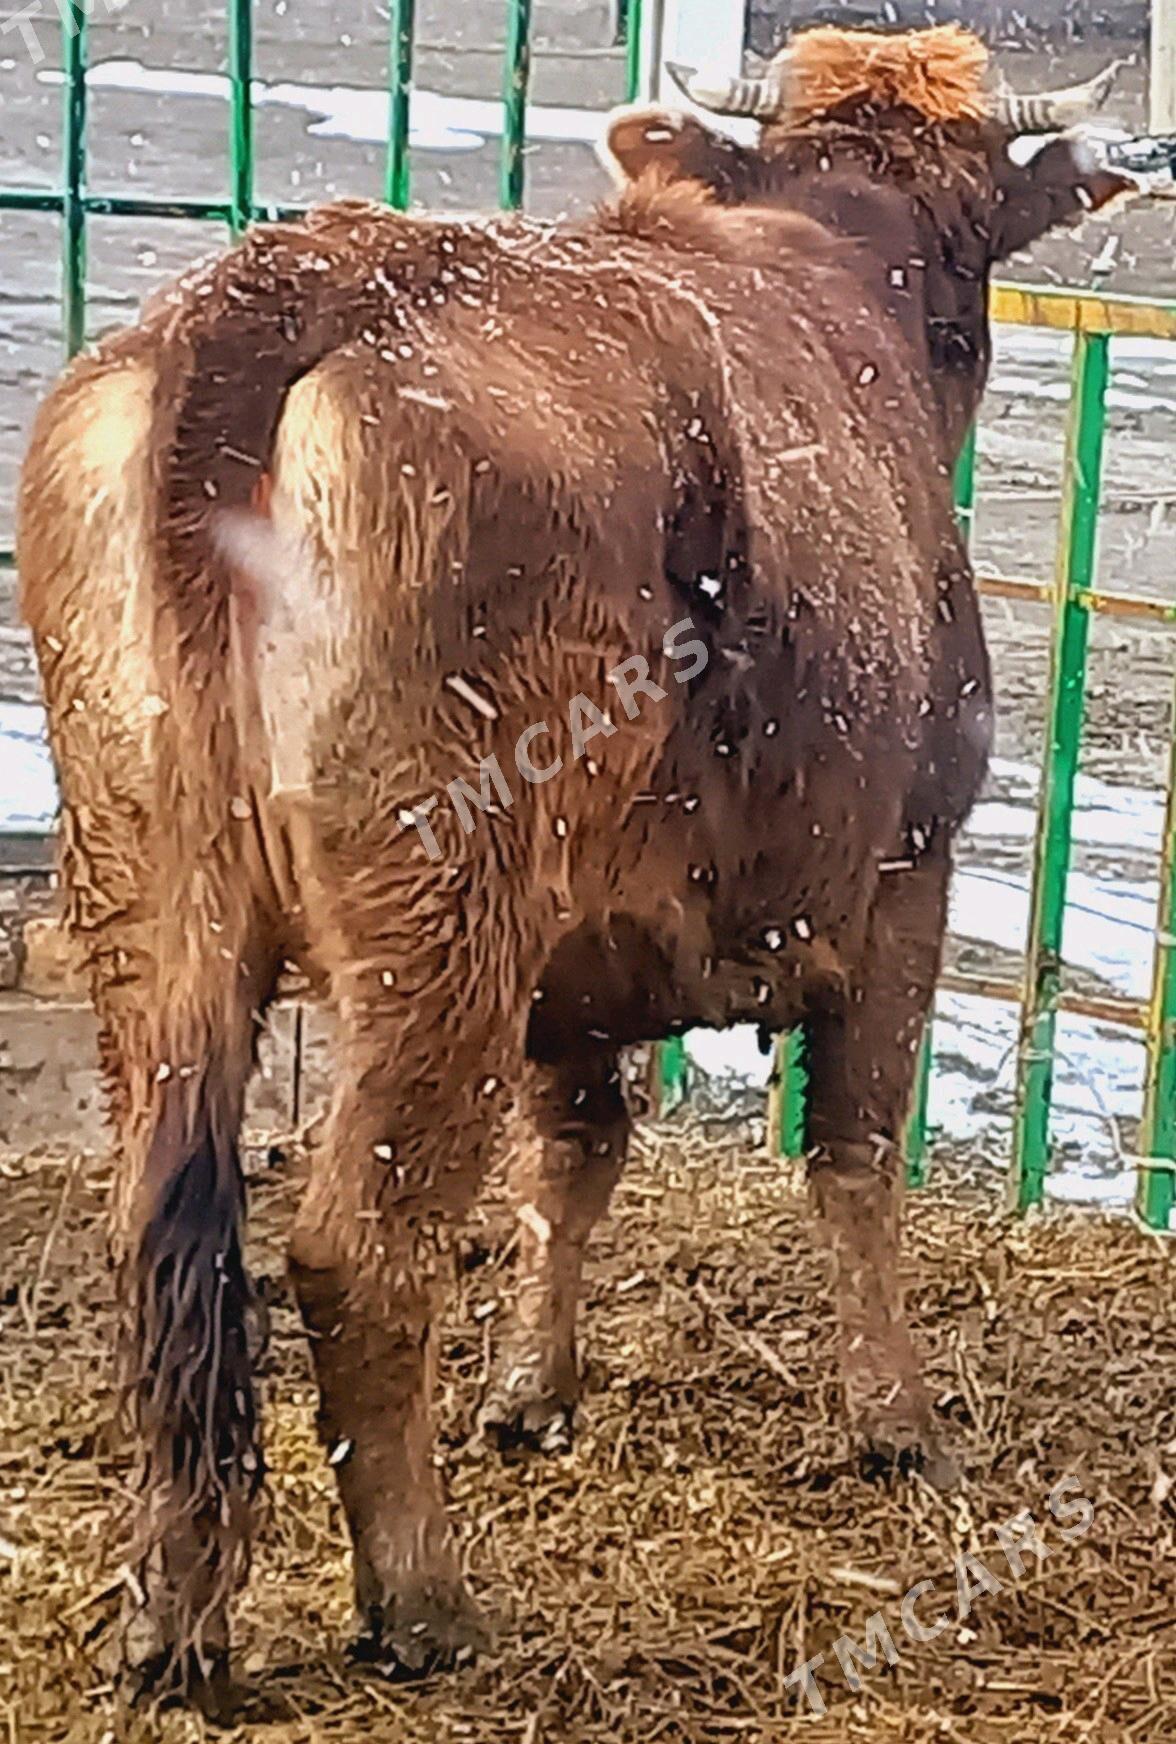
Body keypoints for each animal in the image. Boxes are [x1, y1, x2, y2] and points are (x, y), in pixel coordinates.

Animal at [18, 23, 1130, 1716]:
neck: (832, 251)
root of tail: (290, 283)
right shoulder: (907, 880)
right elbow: (856, 1154)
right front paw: (897, 1422)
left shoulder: (583, 957)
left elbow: (577, 1158)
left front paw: (532, 1391)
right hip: (440, 928)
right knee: (356, 1249)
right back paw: (420, 1605)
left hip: (156, 906)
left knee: (161, 1232)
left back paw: (173, 1620)